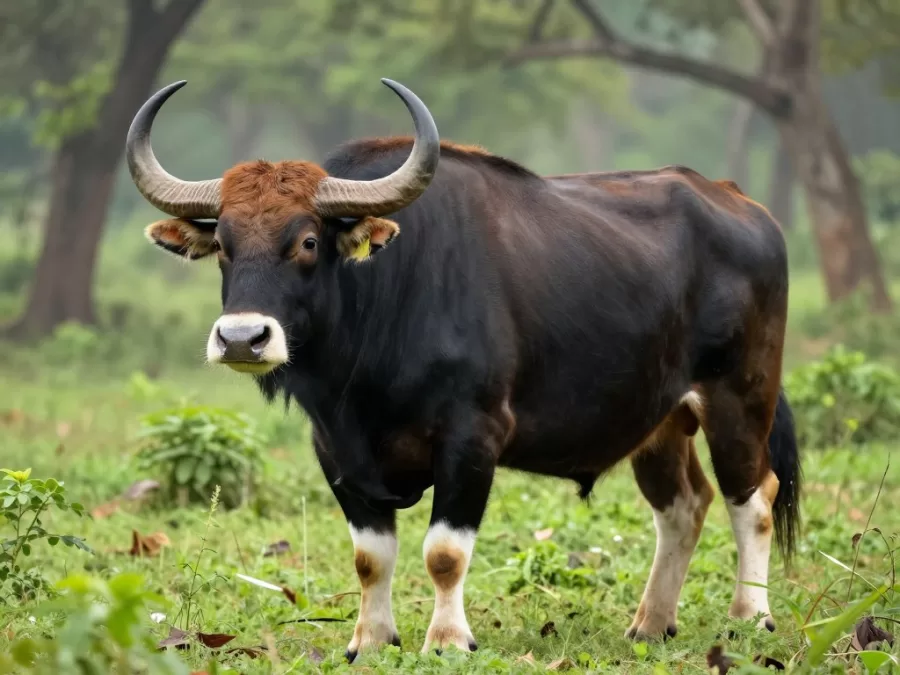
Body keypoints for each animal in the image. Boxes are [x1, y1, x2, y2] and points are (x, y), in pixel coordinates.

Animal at [126, 79, 801, 660]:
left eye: (308, 241)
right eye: (224, 246)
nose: (243, 337)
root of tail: (747, 207)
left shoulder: (472, 438)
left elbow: (445, 552)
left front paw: (448, 639)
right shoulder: (335, 450)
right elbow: (371, 557)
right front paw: (371, 640)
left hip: (740, 398)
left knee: (753, 499)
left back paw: (751, 616)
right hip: (658, 420)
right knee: (684, 505)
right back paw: (652, 623)